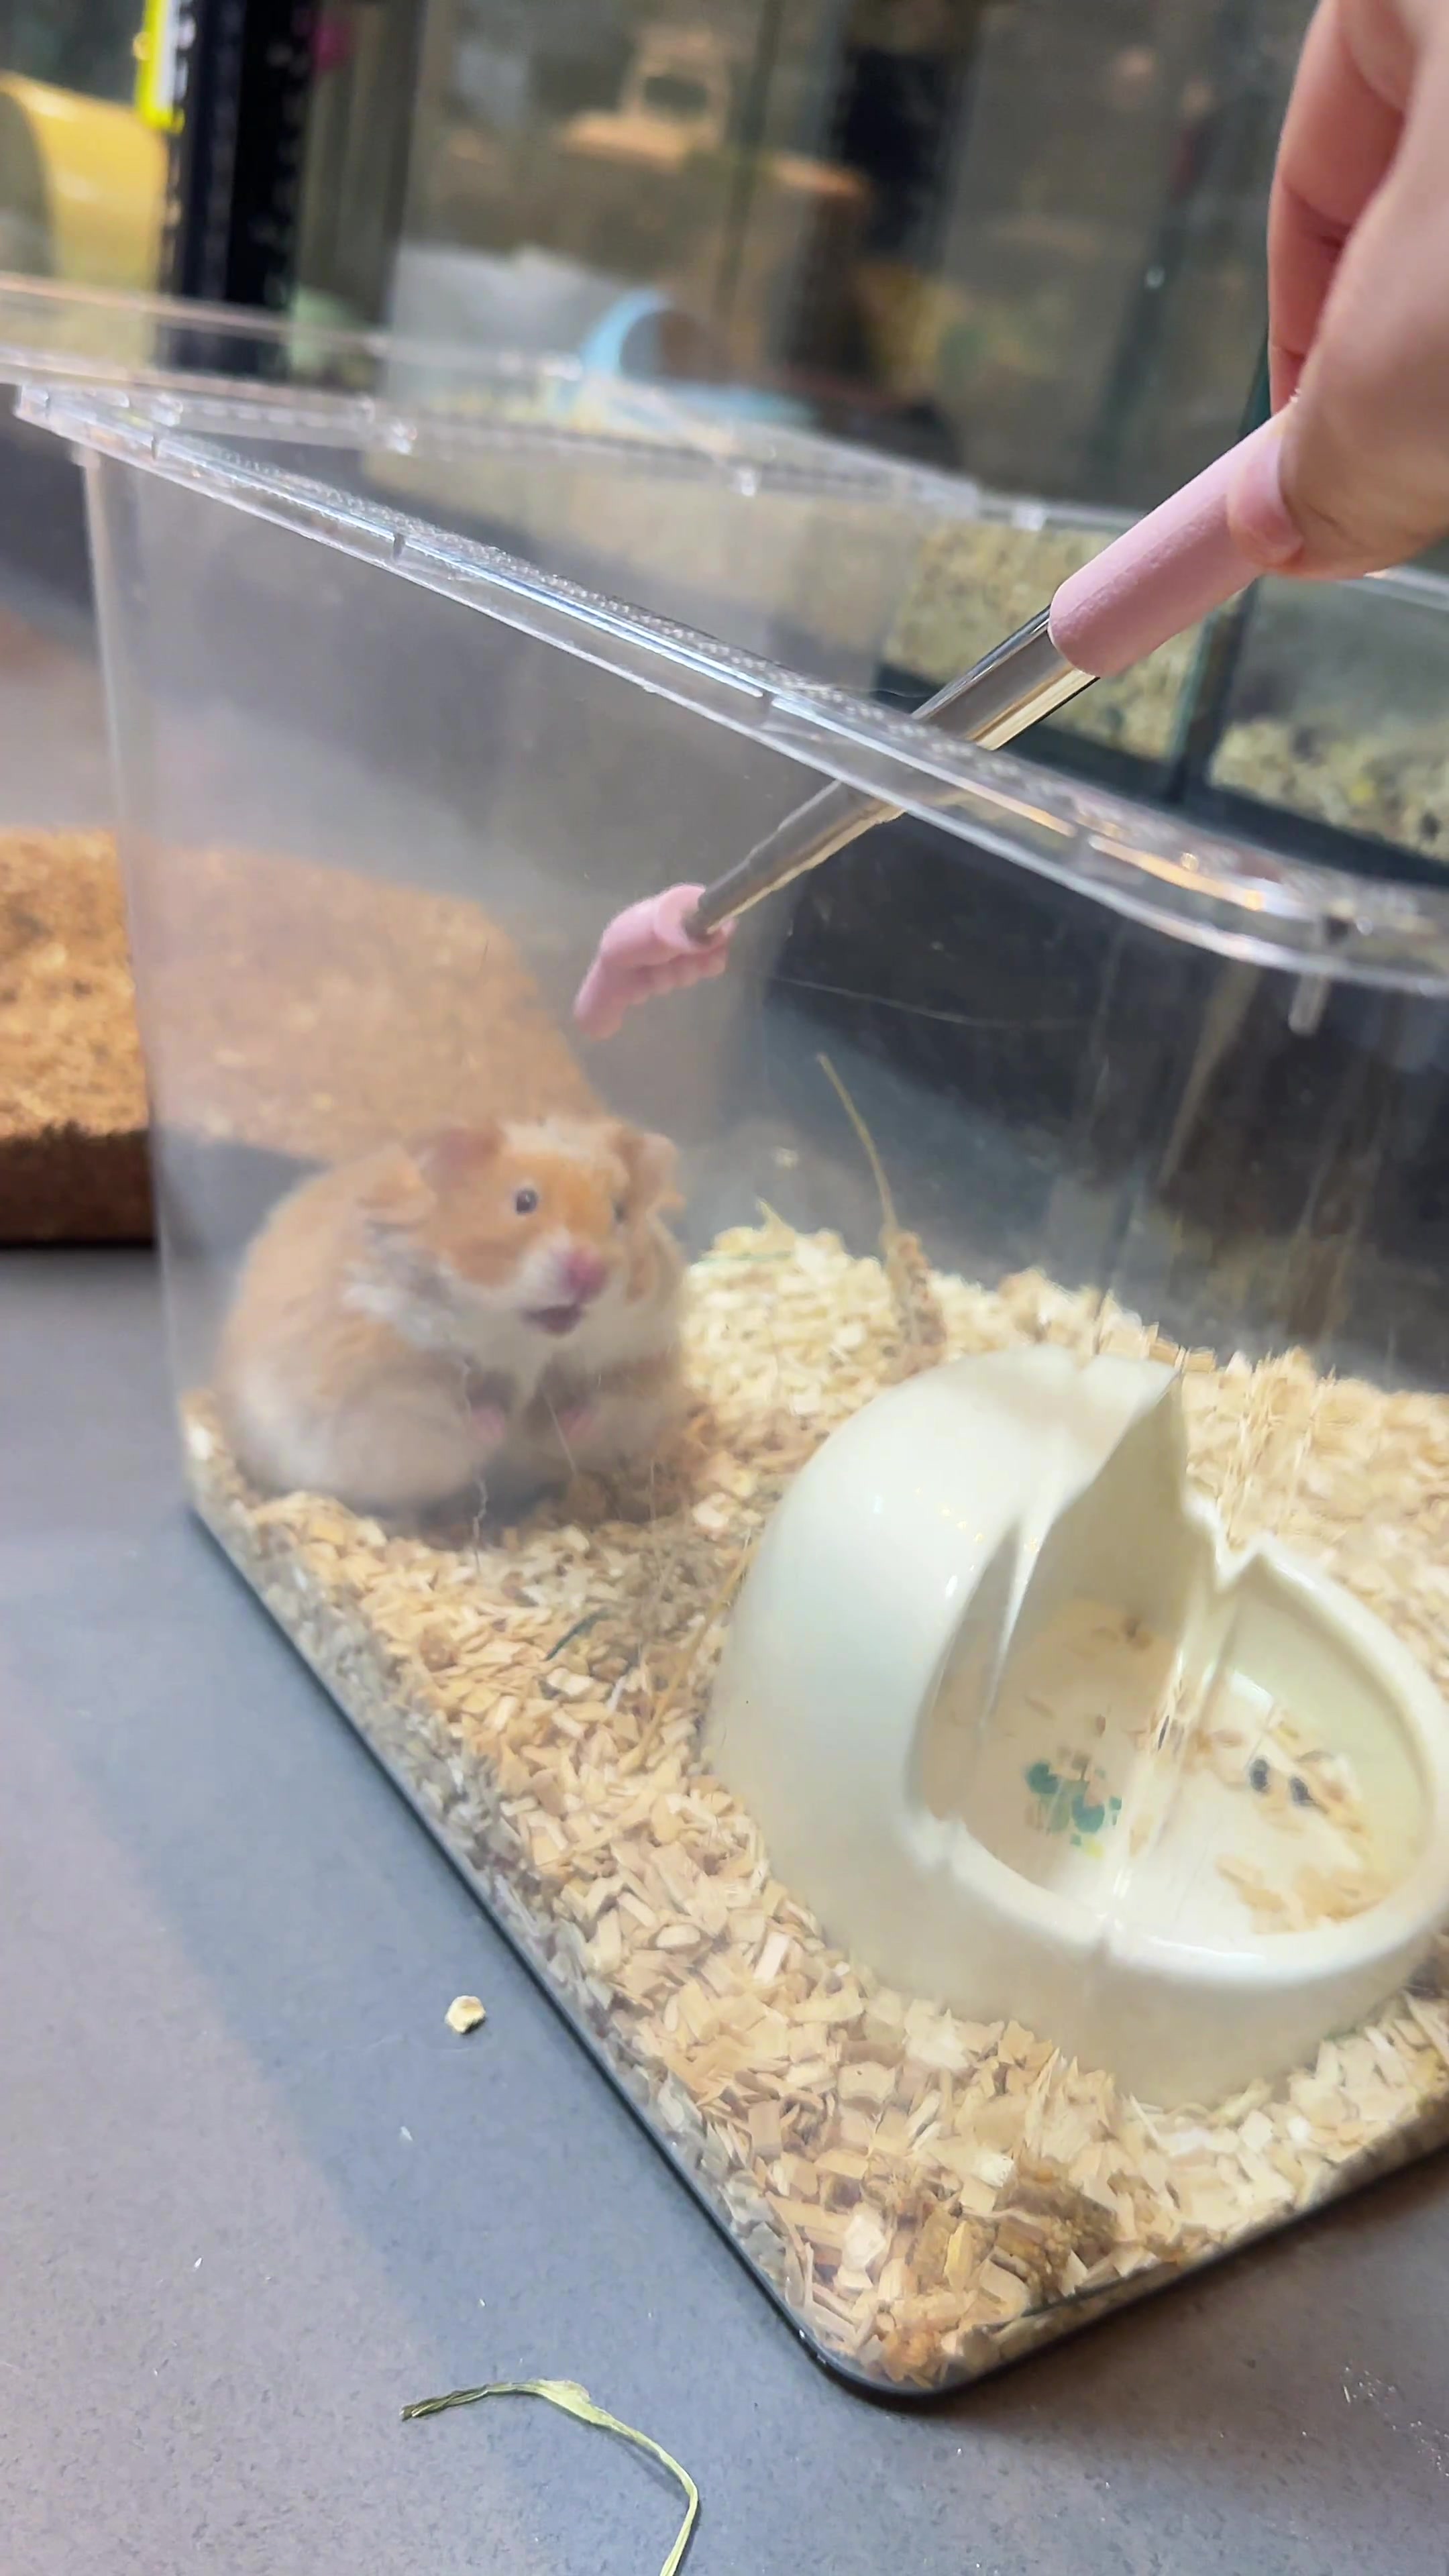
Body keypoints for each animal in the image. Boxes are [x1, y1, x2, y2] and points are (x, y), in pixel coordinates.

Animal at [216, 1115, 684, 1515]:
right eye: (525, 1201)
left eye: (620, 1212)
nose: (590, 1274)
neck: (524, 1337)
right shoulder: (384, 1377)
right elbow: (444, 1405)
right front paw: (496, 1428)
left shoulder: (646, 1355)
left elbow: (608, 1401)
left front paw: (567, 1425)